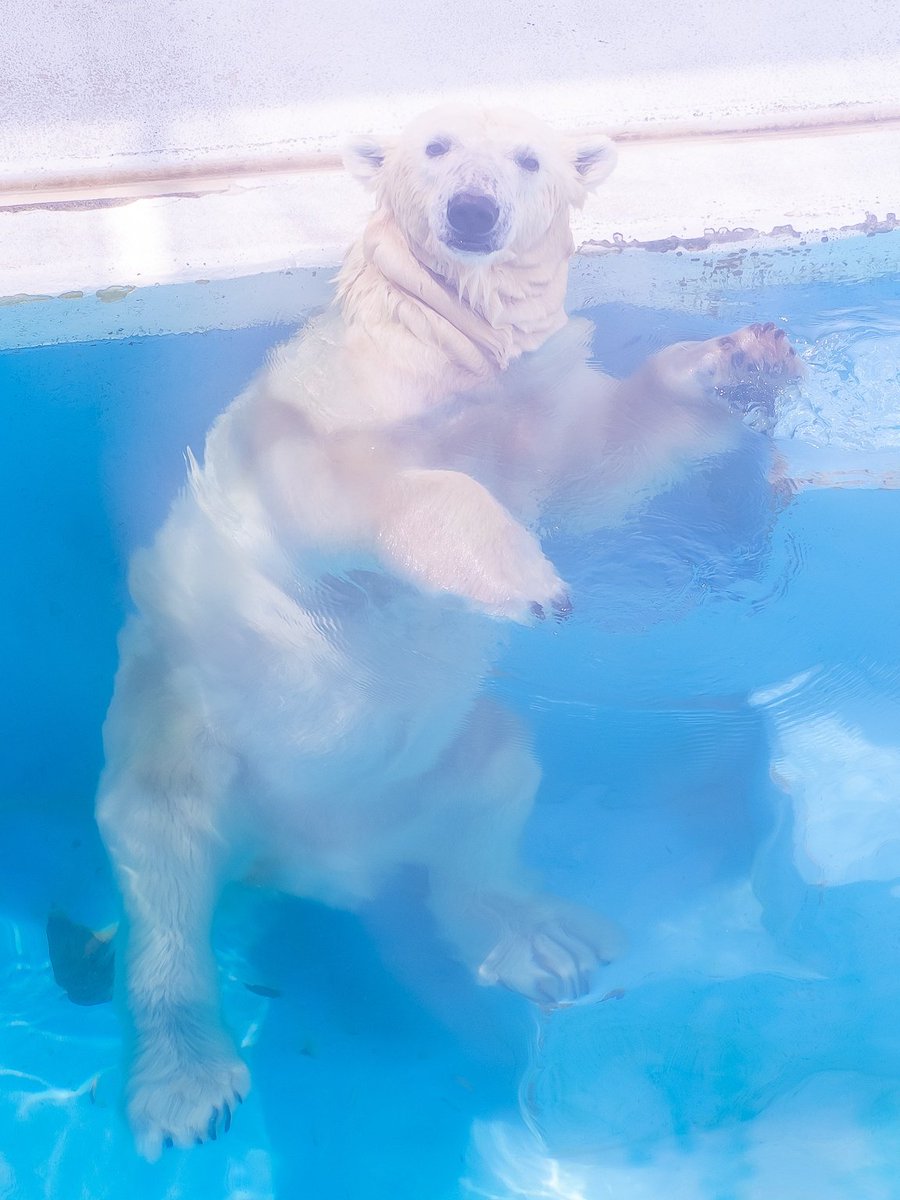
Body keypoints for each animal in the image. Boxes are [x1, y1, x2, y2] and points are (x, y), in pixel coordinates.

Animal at [95, 103, 803, 1159]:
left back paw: (542, 937)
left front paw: (748, 361)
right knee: (163, 869)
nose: (473, 210)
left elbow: (604, 466)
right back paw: (187, 1078)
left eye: (529, 157)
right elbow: (344, 491)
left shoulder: (535, 413)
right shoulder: (335, 409)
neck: (455, 350)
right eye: (432, 147)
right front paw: (523, 579)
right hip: (186, 736)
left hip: (447, 754)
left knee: (491, 792)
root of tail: (321, 859)